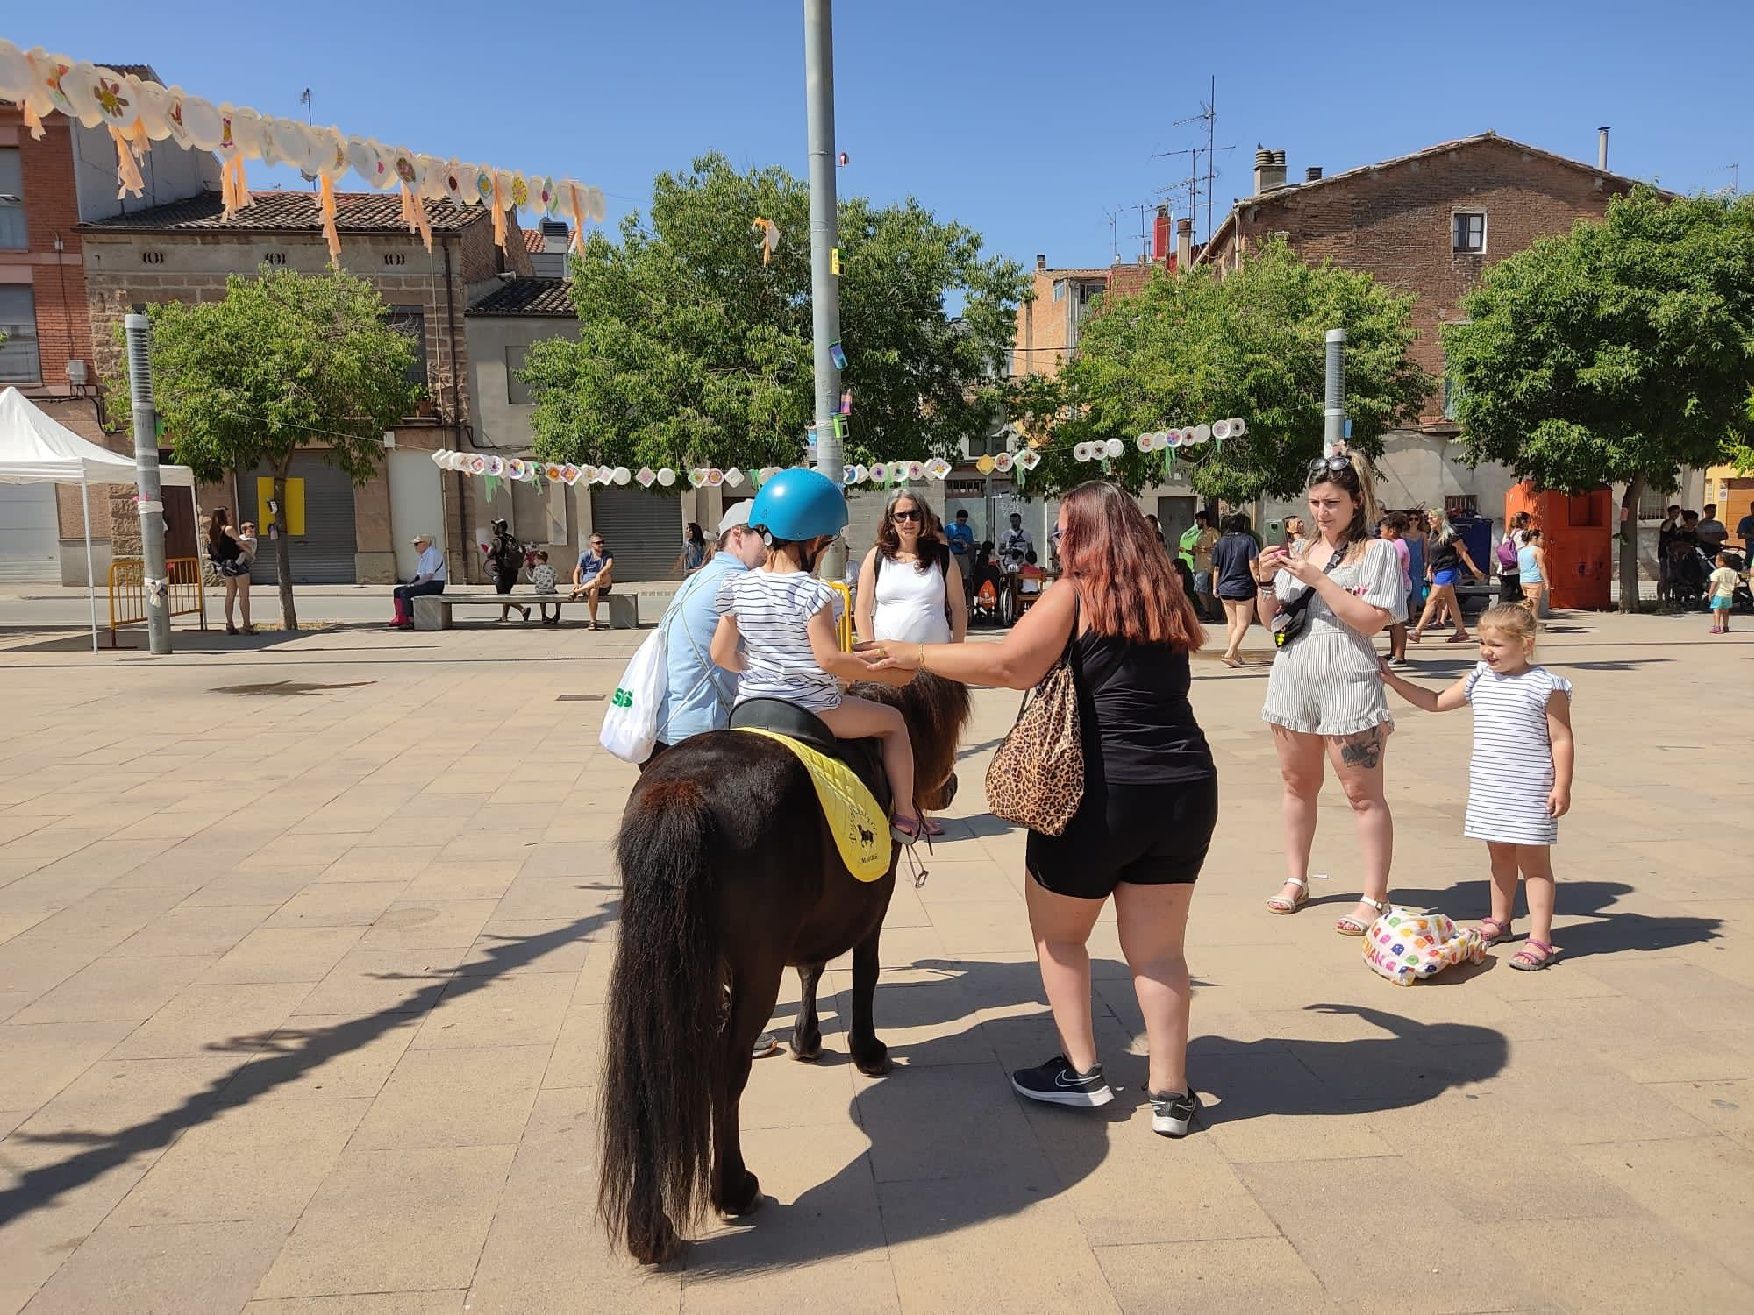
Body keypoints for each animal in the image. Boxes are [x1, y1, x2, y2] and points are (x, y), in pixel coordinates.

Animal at [596, 673, 968, 1262]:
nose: (950, 786)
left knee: (659, 1073)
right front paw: (867, 1051)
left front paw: (806, 1039)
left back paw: (649, 1225)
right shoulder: (873, 905)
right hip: (753, 972)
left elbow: (811, 971)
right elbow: (865, 975)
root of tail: (682, 790)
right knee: (723, 1073)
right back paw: (734, 1188)